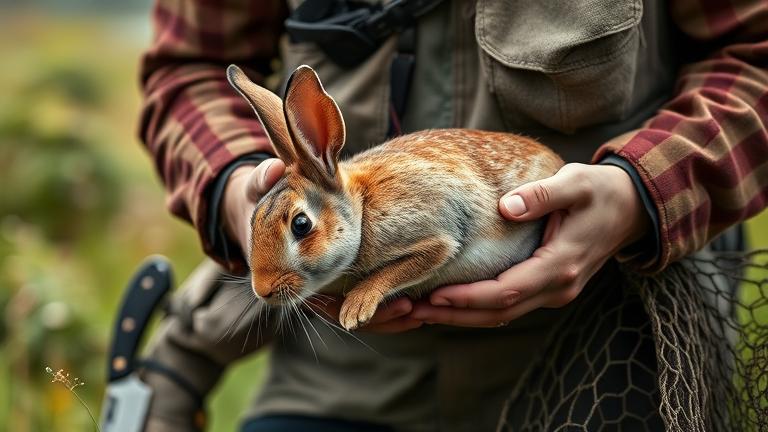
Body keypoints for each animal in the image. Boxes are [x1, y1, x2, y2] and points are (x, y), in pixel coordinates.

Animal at [227, 64, 564, 331]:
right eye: (253, 219)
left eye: (301, 224)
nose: (263, 290)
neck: (363, 207)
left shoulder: (435, 234)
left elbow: (407, 265)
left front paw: (356, 309)